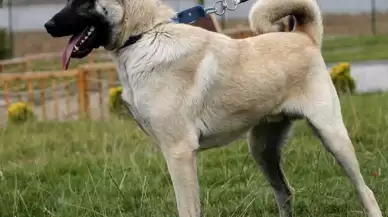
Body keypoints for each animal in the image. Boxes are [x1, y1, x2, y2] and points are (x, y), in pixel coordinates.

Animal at [44, 0, 382, 217]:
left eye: (82, 0)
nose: (47, 25)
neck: (146, 35)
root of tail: (304, 37)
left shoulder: (179, 154)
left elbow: (188, 209)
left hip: (332, 137)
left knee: (365, 191)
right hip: (262, 150)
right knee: (285, 193)